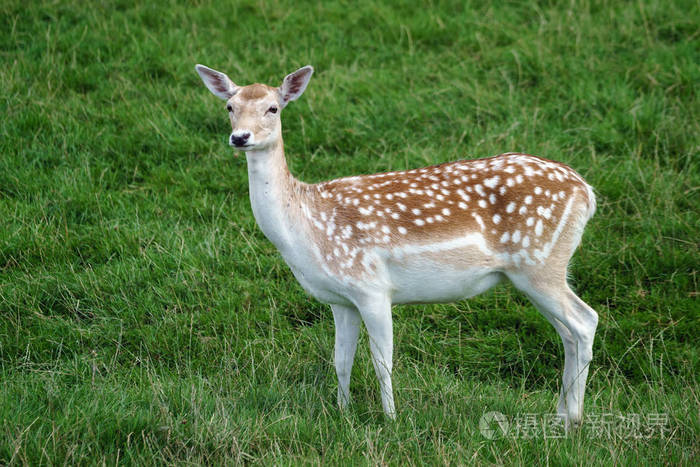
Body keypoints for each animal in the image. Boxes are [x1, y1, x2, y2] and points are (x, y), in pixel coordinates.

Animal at [194, 64, 600, 430]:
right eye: (229, 106)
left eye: (273, 108)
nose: (240, 137)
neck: (306, 228)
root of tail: (587, 192)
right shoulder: (340, 299)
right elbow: (341, 360)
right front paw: (342, 413)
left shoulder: (372, 286)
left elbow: (382, 360)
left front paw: (391, 420)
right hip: (533, 273)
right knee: (567, 332)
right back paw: (559, 414)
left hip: (541, 263)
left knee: (584, 321)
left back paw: (575, 419)